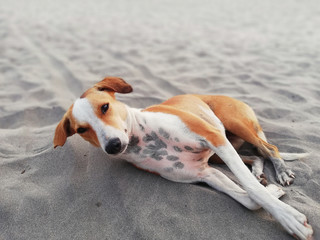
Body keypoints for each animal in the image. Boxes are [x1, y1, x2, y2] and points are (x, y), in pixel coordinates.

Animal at [54, 77, 312, 240]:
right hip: (222, 154)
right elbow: (249, 199)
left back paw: (281, 171)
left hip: (233, 125)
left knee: (269, 148)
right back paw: (259, 171)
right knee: (255, 156)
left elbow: (251, 190)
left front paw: (290, 218)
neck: (143, 139)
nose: (113, 146)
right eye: (81, 130)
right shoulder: (206, 173)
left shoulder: (213, 137)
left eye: (105, 107)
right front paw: (272, 193)